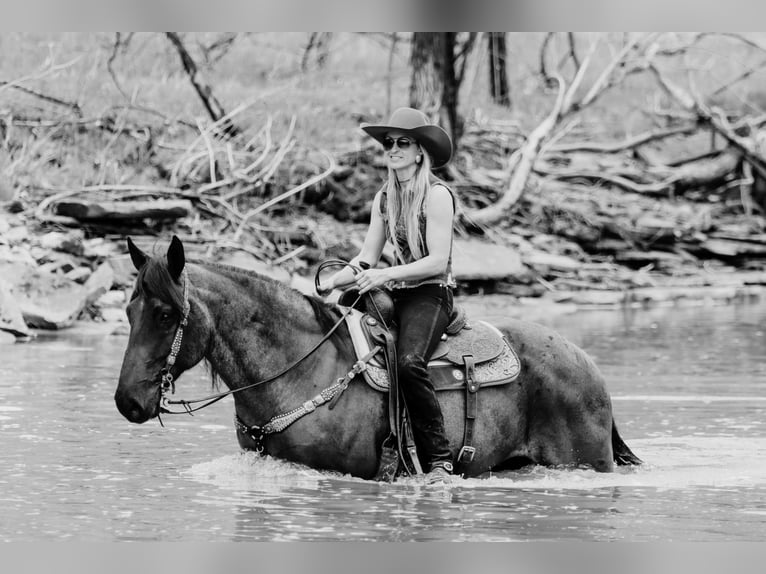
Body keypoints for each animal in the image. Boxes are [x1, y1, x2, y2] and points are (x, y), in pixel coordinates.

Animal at [114, 235, 640, 482]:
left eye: (165, 313)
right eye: (128, 310)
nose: (127, 402)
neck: (301, 369)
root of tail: (587, 365)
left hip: (585, 461)